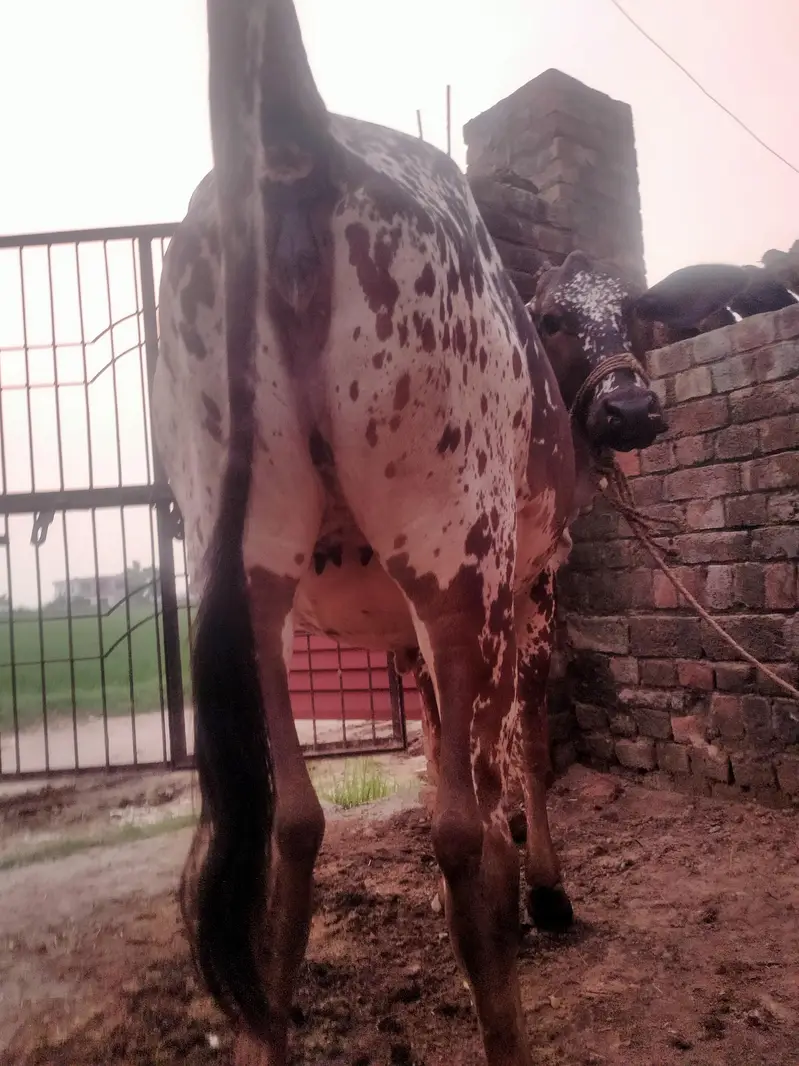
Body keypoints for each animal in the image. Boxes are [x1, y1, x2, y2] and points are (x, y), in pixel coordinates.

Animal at [151, 2, 755, 1061]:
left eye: (638, 312)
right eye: (553, 318)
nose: (632, 409)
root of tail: (301, 147)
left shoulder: (409, 632)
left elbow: (445, 745)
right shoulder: (531, 582)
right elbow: (515, 740)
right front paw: (542, 889)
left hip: (247, 576)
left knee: (292, 821)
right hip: (457, 551)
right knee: (454, 832)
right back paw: (505, 997)